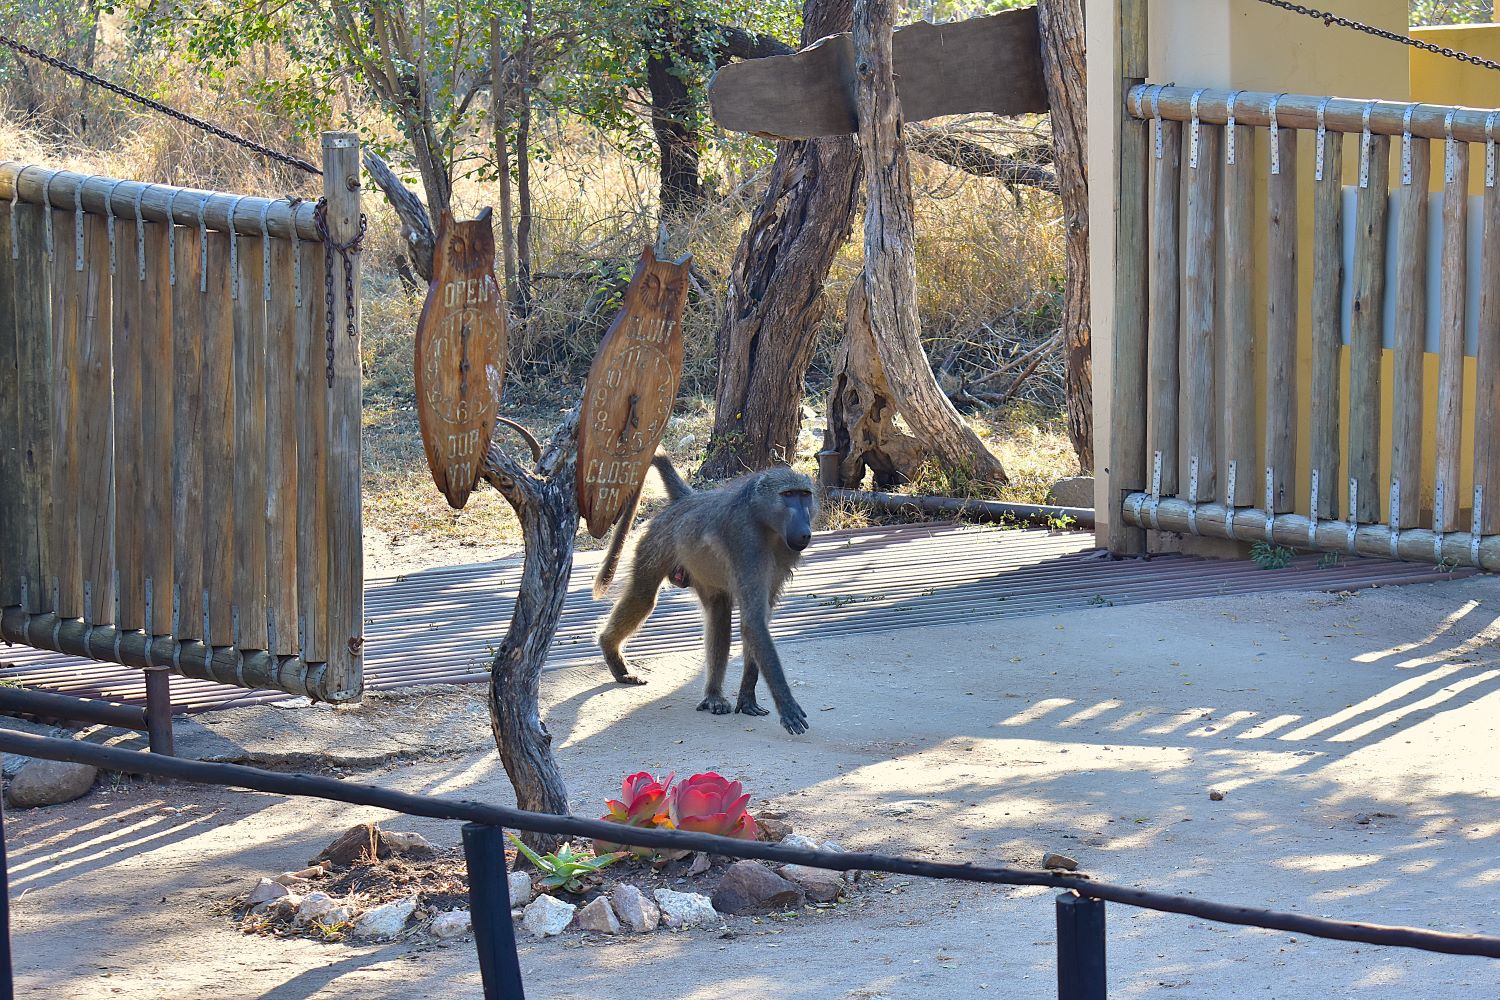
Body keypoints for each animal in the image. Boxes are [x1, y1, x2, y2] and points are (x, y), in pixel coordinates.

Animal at [593, 455, 820, 735]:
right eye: (788, 495)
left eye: (804, 495)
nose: (804, 531)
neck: (765, 523)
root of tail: (686, 500)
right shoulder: (746, 544)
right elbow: (754, 622)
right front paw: (787, 705)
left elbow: (756, 622)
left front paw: (747, 697)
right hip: (658, 543)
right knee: (643, 597)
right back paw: (612, 653)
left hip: (698, 571)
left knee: (718, 613)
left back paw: (713, 696)